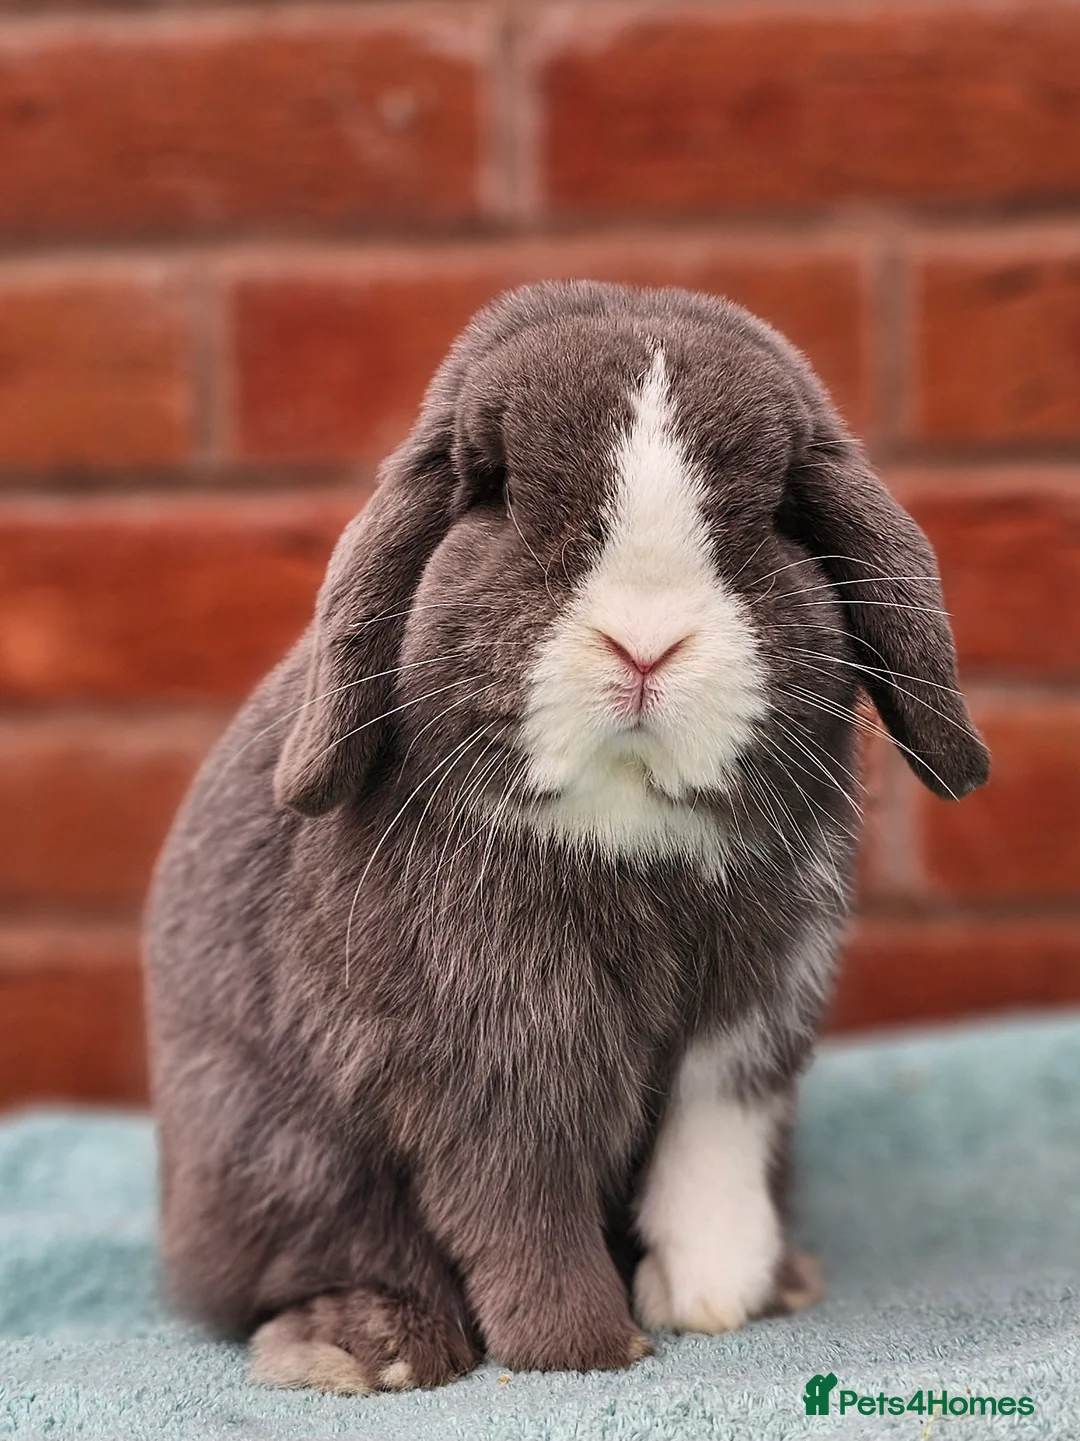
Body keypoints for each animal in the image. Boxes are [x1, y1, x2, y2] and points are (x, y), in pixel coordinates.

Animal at [144, 280, 990, 1394]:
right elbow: (518, 1197)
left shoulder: (753, 1017)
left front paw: (719, 1296)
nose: (645, 645)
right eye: (498, 494)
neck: (629, 826)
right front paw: (582, 1350)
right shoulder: (489, 1048)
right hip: (273, 1153)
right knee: (314, 1253)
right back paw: (369, 1347)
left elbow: (711, 1148)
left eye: (772, 512)